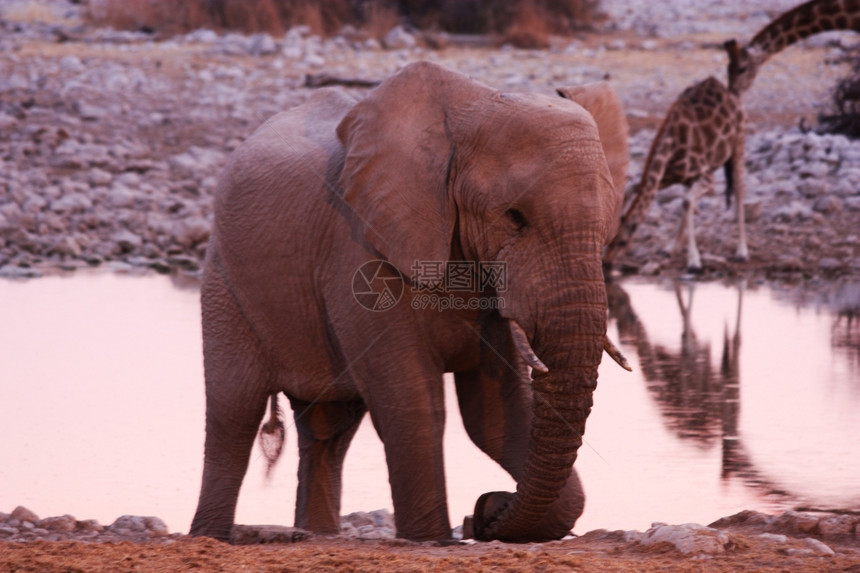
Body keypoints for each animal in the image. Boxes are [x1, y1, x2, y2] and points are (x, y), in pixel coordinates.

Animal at [190, 60, 632, 544]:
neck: (472, 108)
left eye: (607, 227)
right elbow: (416, 404)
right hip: (224, 281)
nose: (480, 512)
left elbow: (498, 414)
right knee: (234, 413)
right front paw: (432, 539)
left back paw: (317, 536)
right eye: (514, 218)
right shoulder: (359, 252)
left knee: (328, 427)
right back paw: (209, 536)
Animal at [604, 0, 860, 272]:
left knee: (739, 190)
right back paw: (674, 247)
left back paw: (742, 251)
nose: (607, 264)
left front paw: (694, 260)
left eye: (624, 240)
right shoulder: (673, 176)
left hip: (739, 143)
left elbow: (688, 202)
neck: (670, 143)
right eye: (611, 239)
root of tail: (734, 98)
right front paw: (674, 249)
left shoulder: (705, 177)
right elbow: (670, 199)